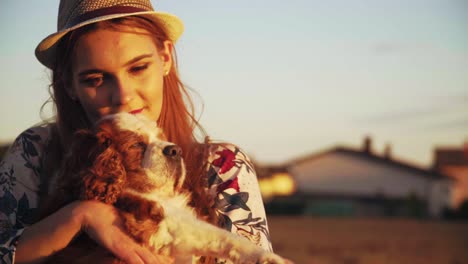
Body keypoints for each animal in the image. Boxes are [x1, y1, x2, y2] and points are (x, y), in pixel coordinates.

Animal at [43, 113, 286, 264]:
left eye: (161, 138)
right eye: (136, 145)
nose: (175, 150)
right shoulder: (166, 226)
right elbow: (222, 237)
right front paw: (268, 258)